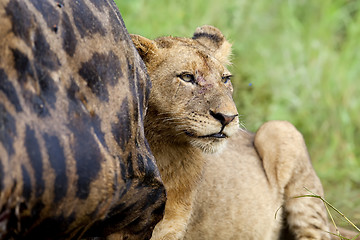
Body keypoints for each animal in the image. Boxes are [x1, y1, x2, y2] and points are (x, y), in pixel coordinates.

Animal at [131, 26, 332, 240]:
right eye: (186, 77)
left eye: (225, 79)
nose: (228, 117)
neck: (163, 149)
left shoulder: (170, 230)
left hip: (280, 130)